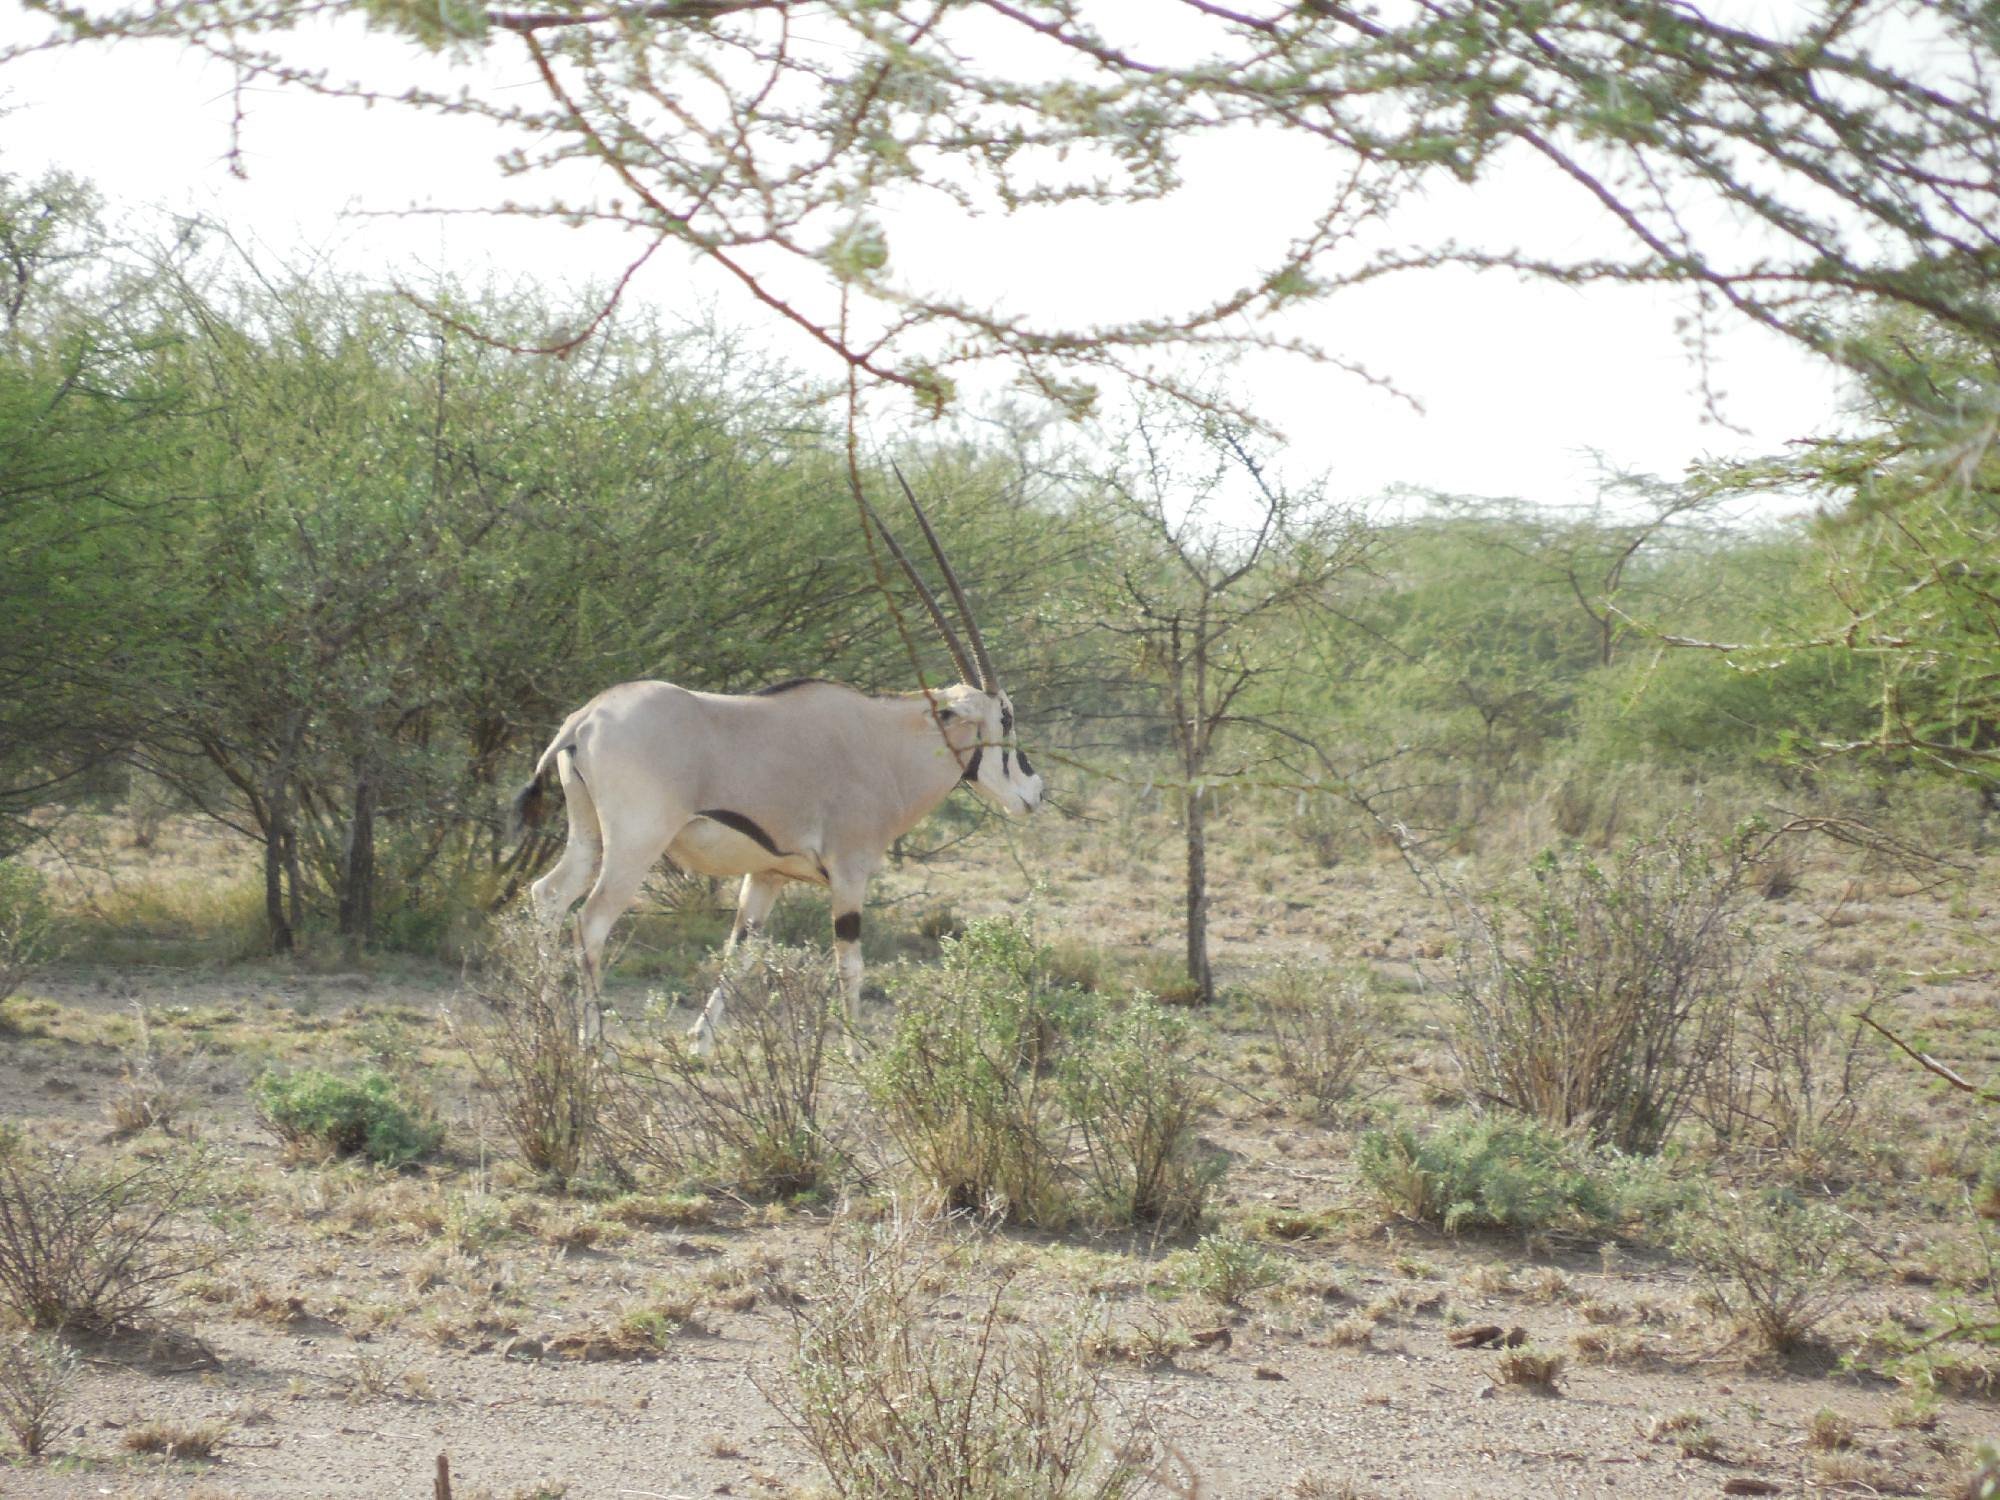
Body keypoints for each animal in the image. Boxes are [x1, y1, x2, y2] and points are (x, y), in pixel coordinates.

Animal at [510, 476, 1044, 1053]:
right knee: (590, 920)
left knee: (548, 897)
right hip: (636, 842)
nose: (1035, 792)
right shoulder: (849, 873)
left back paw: (546, 1028)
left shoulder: (766, 875)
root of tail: (583, 719)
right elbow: (850, 965)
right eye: (1007, 716)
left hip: (588, 833)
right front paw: (856, 1053)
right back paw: (592, 1046)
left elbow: (738, 955)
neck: (886, 746)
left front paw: (699, 1044)